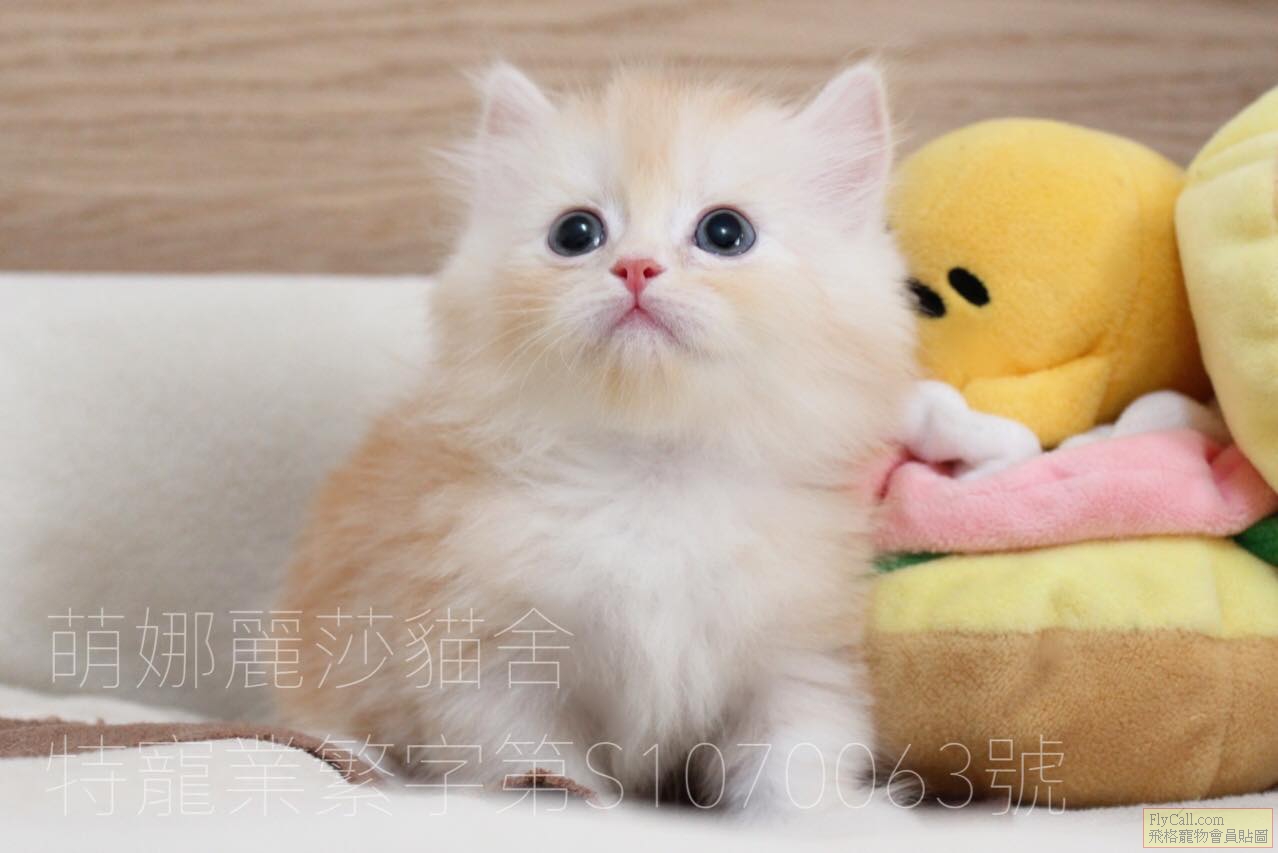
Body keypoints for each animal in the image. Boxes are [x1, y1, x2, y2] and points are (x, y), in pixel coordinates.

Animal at [275, 62, 917, 815]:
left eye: (725, 232)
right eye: (576, 232)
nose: (636, 267)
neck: (653, 473)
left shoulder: (798, 654)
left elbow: (795, 760)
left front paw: (819, 821)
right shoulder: (491, 657)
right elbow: (540, 760)